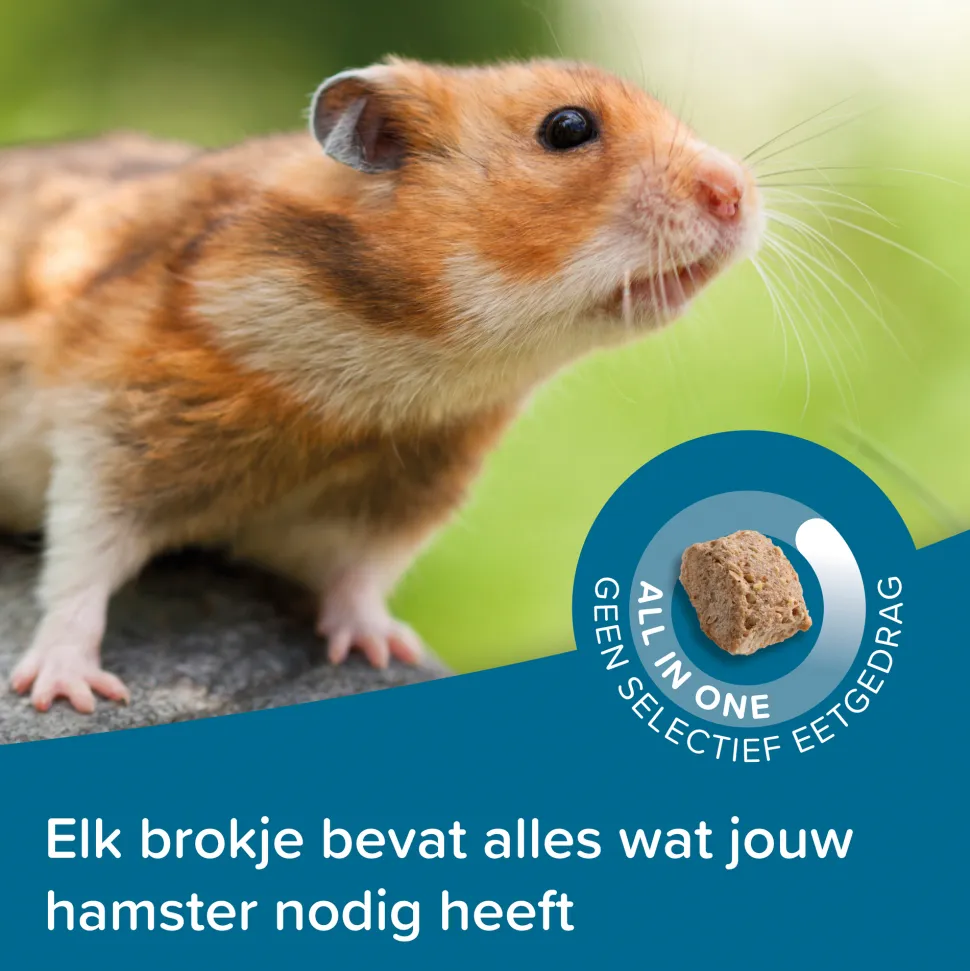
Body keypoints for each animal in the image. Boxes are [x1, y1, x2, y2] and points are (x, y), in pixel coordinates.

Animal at [0, 58, 763, 713]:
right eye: (568, 128)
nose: (738, 194)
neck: (408, 369)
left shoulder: (405, 490)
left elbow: (361, 577)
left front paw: (386, 650)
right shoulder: (116, 429)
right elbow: (81, 560)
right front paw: (66, 693)